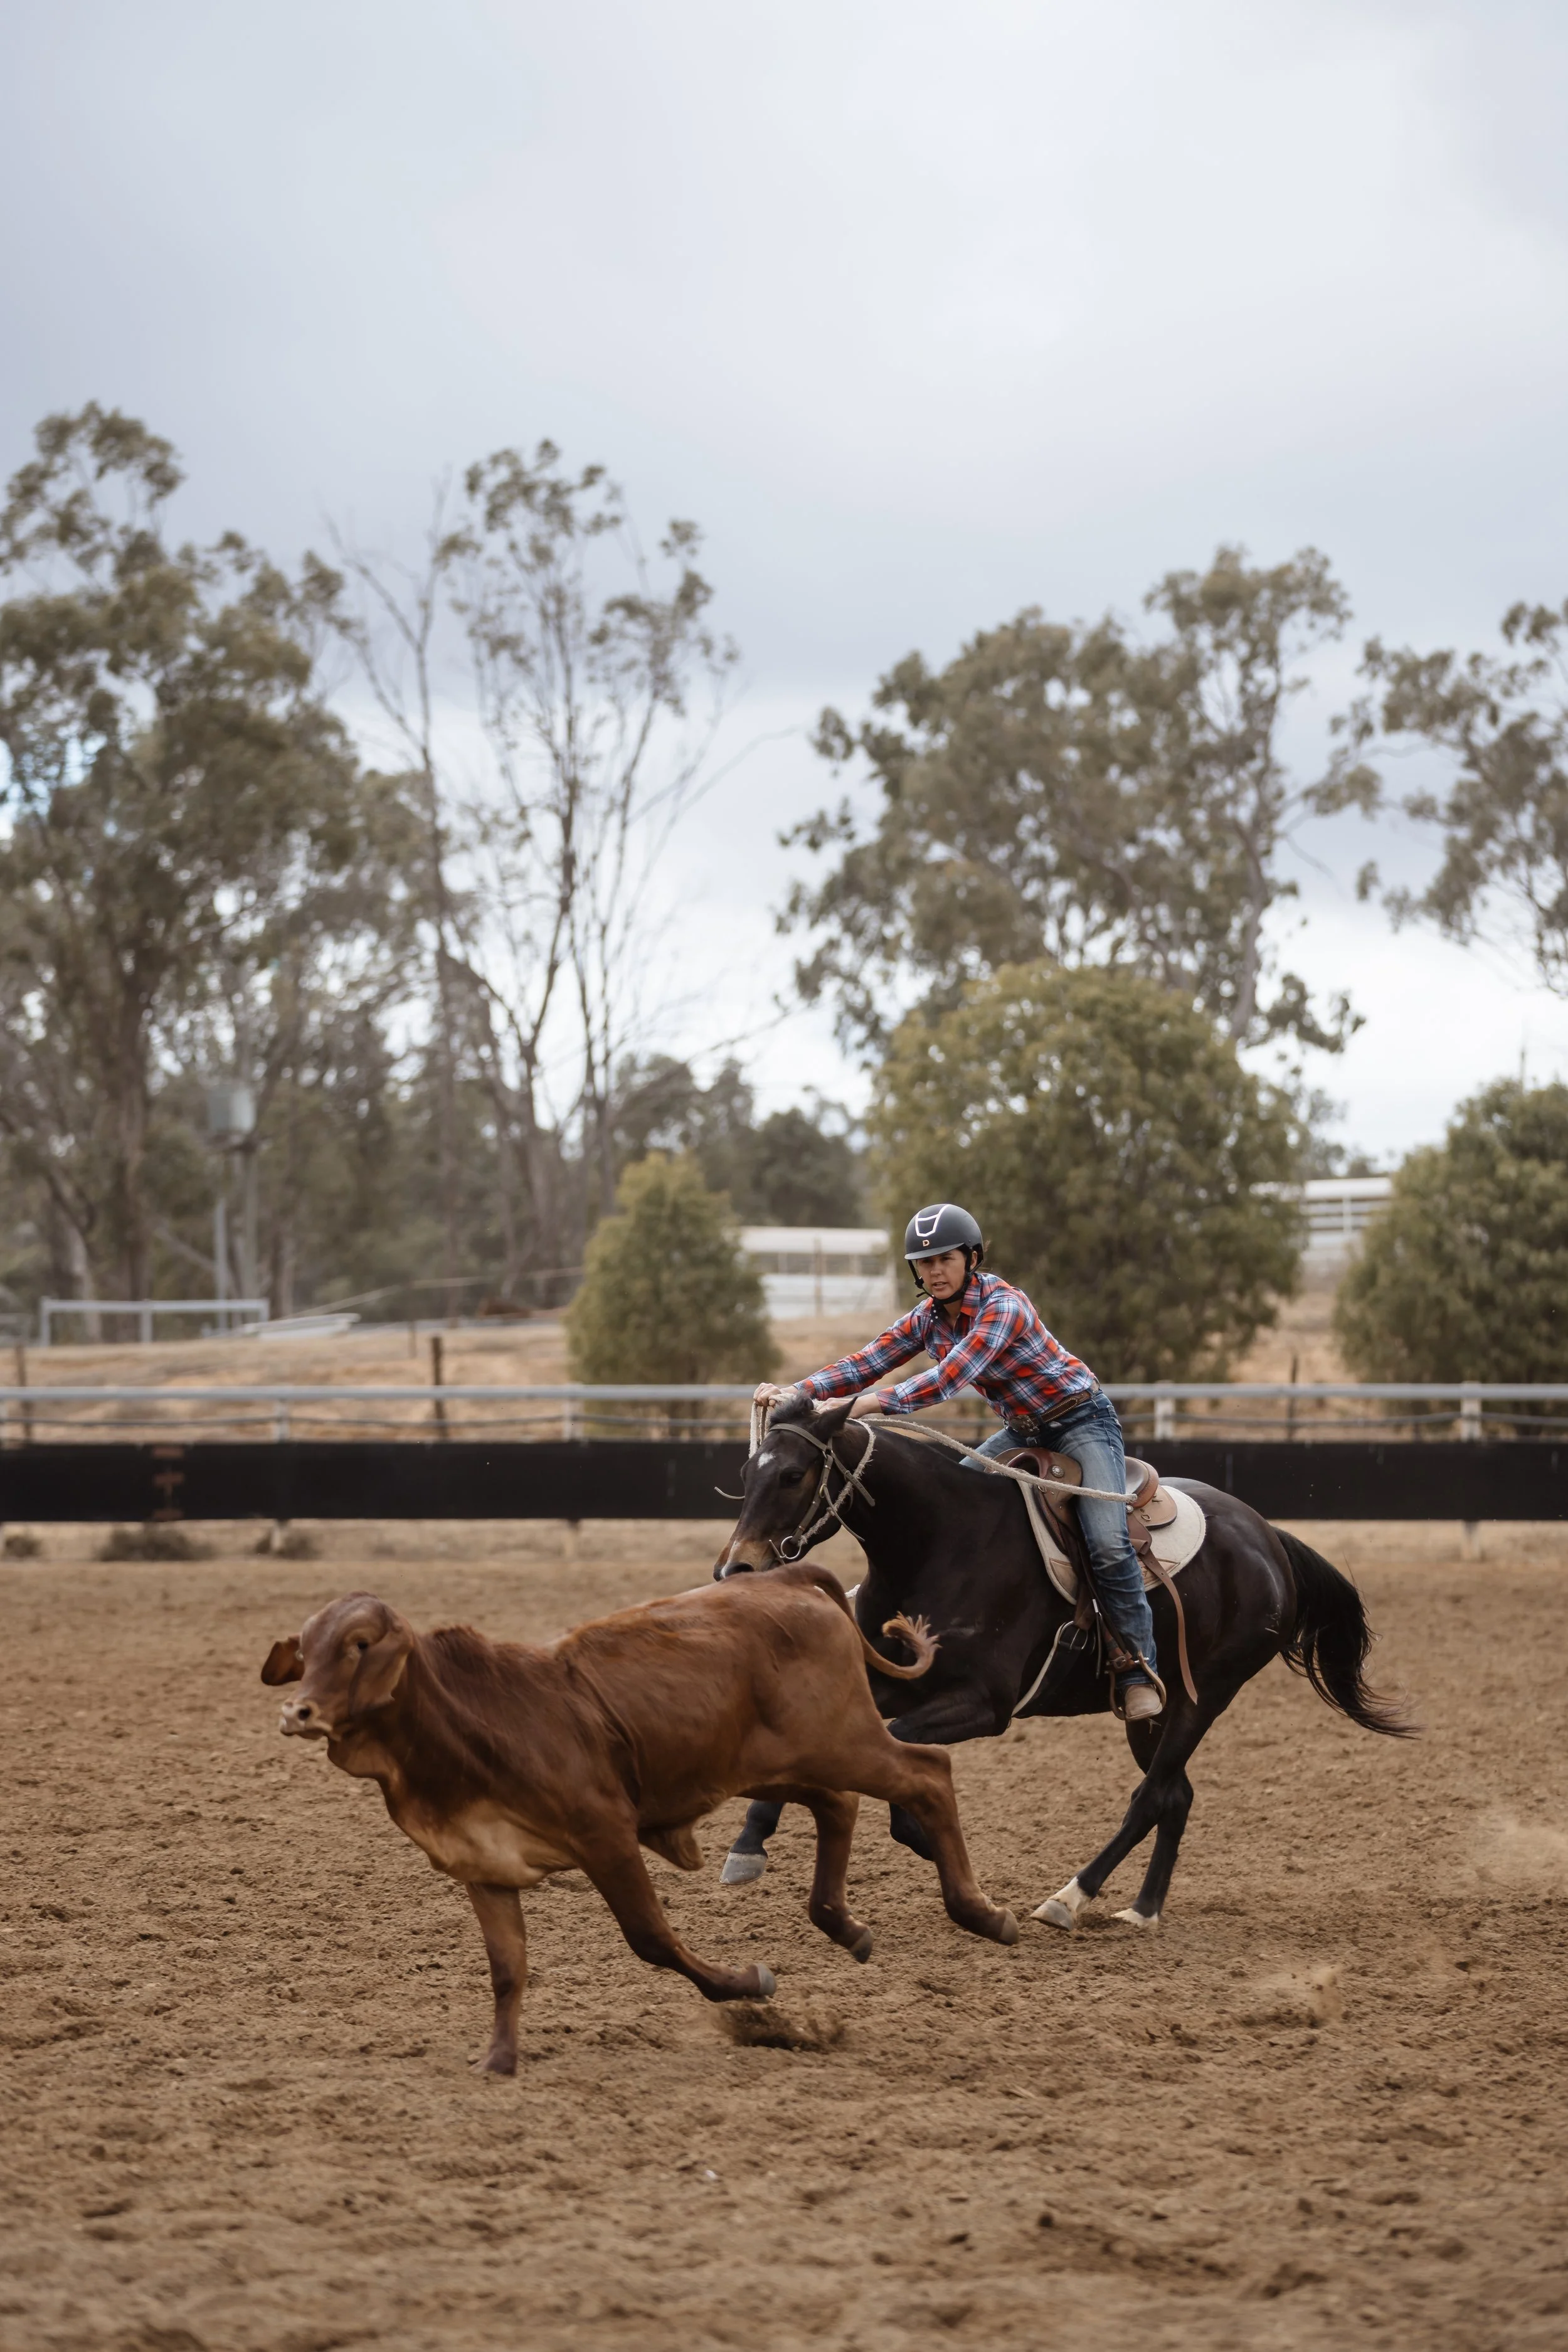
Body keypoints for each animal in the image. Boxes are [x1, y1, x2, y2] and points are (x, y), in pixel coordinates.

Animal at [260, 1565, 1019, 2075]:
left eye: (359, 1646)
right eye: (308, 1647)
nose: (296, 1711)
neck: (472, 1724)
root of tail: (786, 1578)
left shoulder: (607, 1839)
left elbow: (650, 1938)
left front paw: (749, 1984)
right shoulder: (485, 1865)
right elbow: (507, 1968)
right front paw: (499, 2059)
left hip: (846, 1742)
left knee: (927, 1776)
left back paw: (981, 1914)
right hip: (778, 1762)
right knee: (839, 1805)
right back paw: (845, 1924)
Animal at [712, 1394, 1410, 1929]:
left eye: (793, 1475)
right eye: (748, 1473)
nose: (735, 1570)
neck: (941, 1540)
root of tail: (1268, 1538)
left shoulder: (984, 1705)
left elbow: (899, 1758)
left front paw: (929, 1845)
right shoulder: (891, 1683)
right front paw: (748, 1846)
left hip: (1202, 1697)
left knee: (1150, 1797)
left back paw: (1070, 1899)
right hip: (1150, 1716)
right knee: (1176, 1794)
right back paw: (1143, 1910)